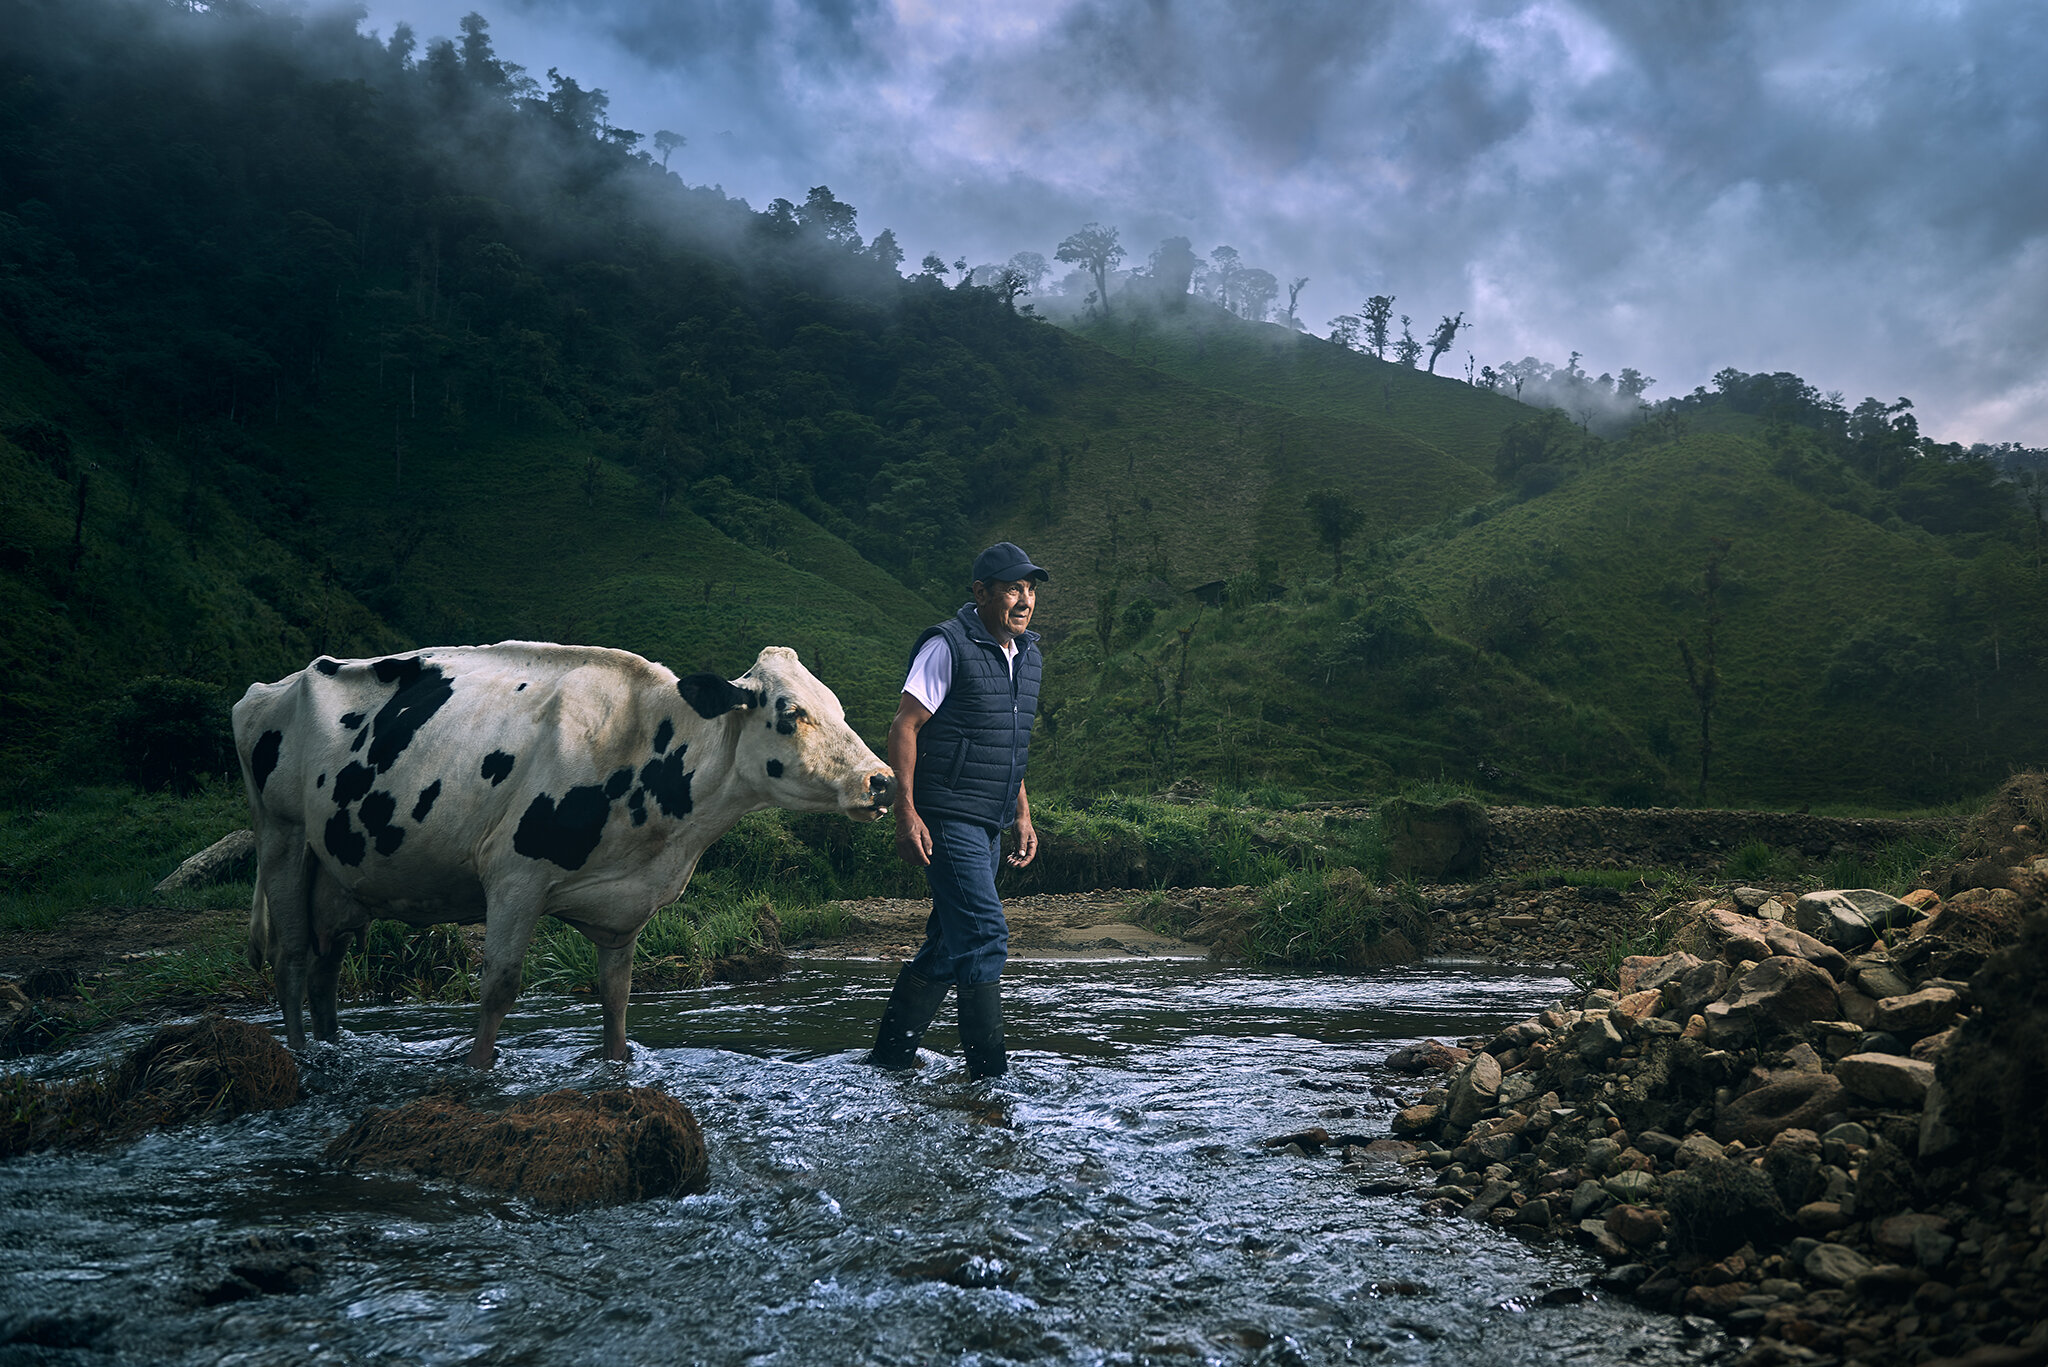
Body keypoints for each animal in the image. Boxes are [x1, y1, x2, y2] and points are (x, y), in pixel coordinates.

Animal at [232, 643, 888, 1065]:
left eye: (837, 708)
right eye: (792, 714)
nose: (880, 781)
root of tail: (273, 686)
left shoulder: (623, 909)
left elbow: (617, 999)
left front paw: (616, 1066)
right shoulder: (513, 877)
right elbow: (499, 987)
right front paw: (475, 1073)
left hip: (339, 876)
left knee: (325, 969)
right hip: (282, 836)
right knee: (291, 960)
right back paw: (299, 1057)